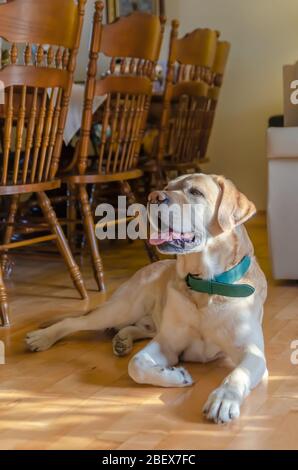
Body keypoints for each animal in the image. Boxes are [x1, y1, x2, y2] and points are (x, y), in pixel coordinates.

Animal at [26, 174, 266, 424]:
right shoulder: (167, 343)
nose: (153, 196)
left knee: (137, 328)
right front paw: (177, 375)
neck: (205, 285)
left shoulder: (253, 352)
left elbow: (238, 374)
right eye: (167, 187)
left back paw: (122, 339)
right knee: (76, 322)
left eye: (195, 192)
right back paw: (43, 337)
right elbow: (136, 365)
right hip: (123, 308)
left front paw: (223, 399)